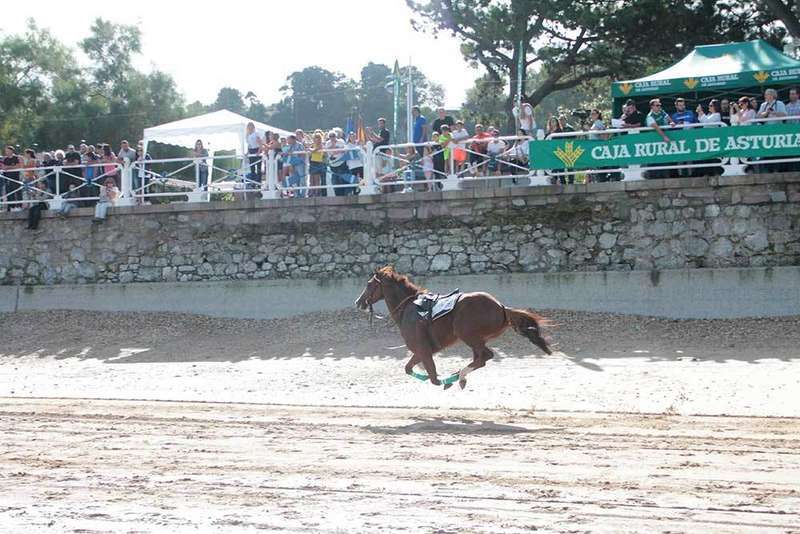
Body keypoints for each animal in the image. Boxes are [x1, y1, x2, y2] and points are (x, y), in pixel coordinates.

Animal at [355, 266, 552, 390]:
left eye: (369, 284)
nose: (358, 302)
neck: (409, 307)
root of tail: (501, 307)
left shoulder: (423, 349)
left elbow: (432, 377)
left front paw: (442, 380)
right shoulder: (422, 351)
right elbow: (409, 368)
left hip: (469, 336)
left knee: (483, 358)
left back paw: (458, 376)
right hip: (477, 339)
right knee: (481, 358)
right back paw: (459, 376)